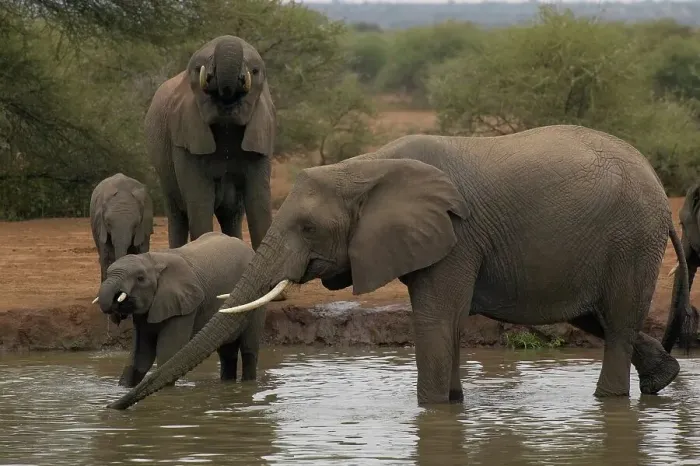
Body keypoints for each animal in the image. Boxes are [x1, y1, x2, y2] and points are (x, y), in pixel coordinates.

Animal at [96, 231, 260, 388]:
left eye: (140, 278)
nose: (117, 314)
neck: (153, 261)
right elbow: (140, 356)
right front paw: (123, 389)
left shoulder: (185, 306)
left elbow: (167, 353)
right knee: (227, 353)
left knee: (249, 349)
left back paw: (248, 383)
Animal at [145, 35, 275, 252]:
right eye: (198, 68)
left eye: (255, 71)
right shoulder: (184, 135)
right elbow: (199, 202)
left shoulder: (261, 136)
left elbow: (259, 202)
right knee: (177, 214)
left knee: (232, 216)